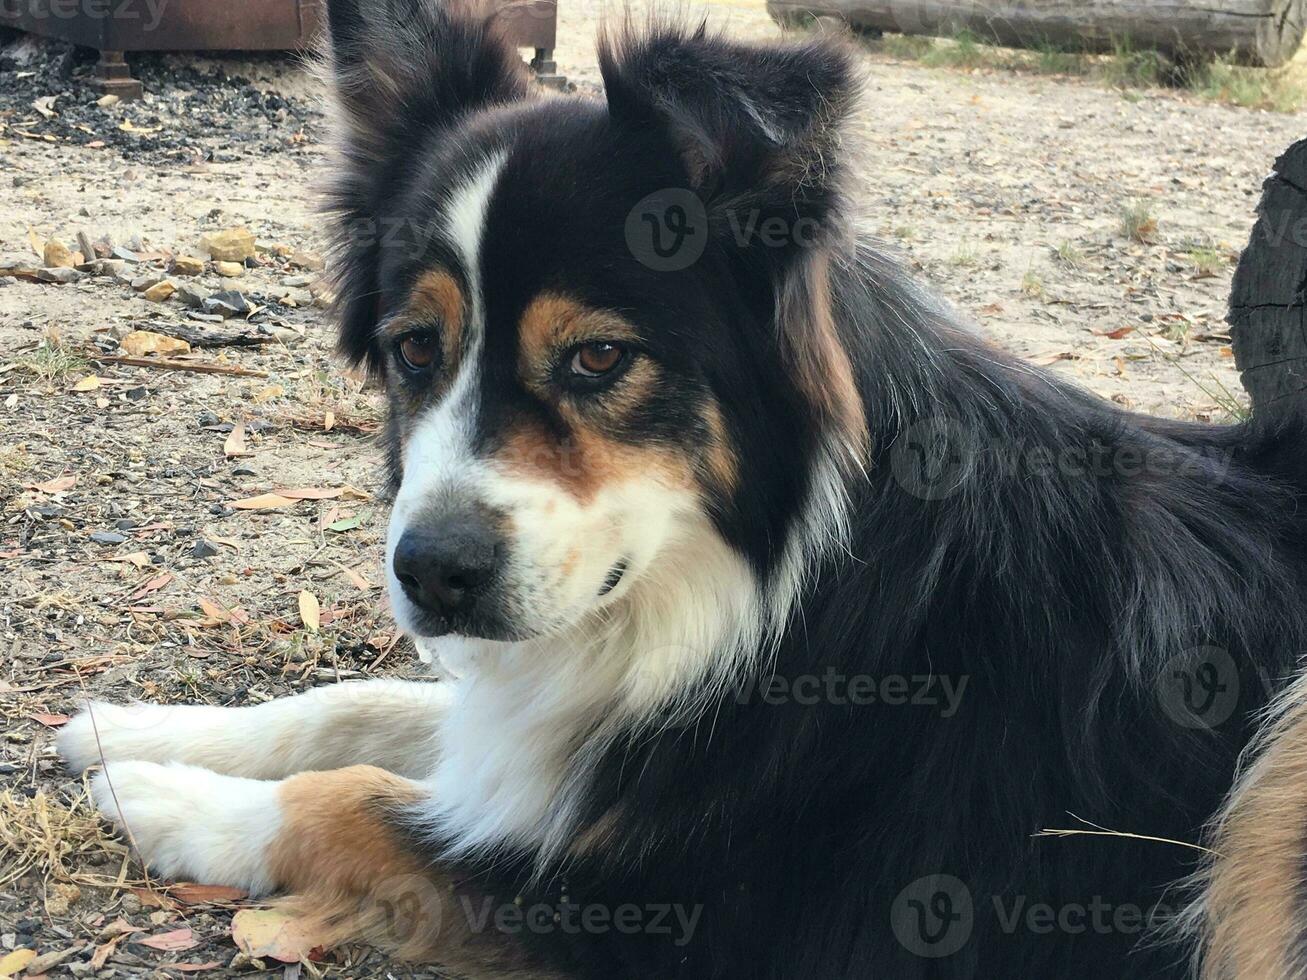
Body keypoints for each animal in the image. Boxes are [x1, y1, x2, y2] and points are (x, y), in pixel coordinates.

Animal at [56, 3, 1307, 977]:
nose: (430, 572)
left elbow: (356, 803)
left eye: (599, 358)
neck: (776, 578)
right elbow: (361, 706)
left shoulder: (700, 918)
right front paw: (139, 727)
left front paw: (169, 797)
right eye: (416, 349)